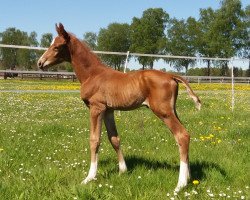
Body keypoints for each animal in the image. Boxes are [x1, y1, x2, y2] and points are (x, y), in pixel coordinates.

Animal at [37, 23, 201, 192]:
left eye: (56, 47)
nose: (40, 63)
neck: (93, 74)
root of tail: (171, 76)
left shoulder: (96, 108)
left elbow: (94, 140)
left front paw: (89, 177)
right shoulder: (108, 110)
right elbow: (114, 138)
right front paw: (123, 170)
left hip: (163, 112)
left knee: (182, 135)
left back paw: (180, 184)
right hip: (172, 110)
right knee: (184, 135)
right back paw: (189, 177)